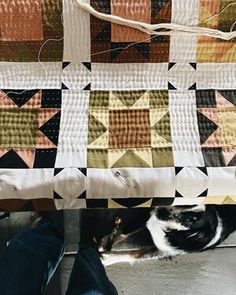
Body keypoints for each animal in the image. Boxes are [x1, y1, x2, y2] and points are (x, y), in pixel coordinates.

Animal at [81, 206, 236, 266]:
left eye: (190, 220)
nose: (160, 212)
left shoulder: (164, 251)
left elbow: (133, 255)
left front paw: (108, 259)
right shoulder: (148, 214)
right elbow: (125, 231)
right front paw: (106, 241)